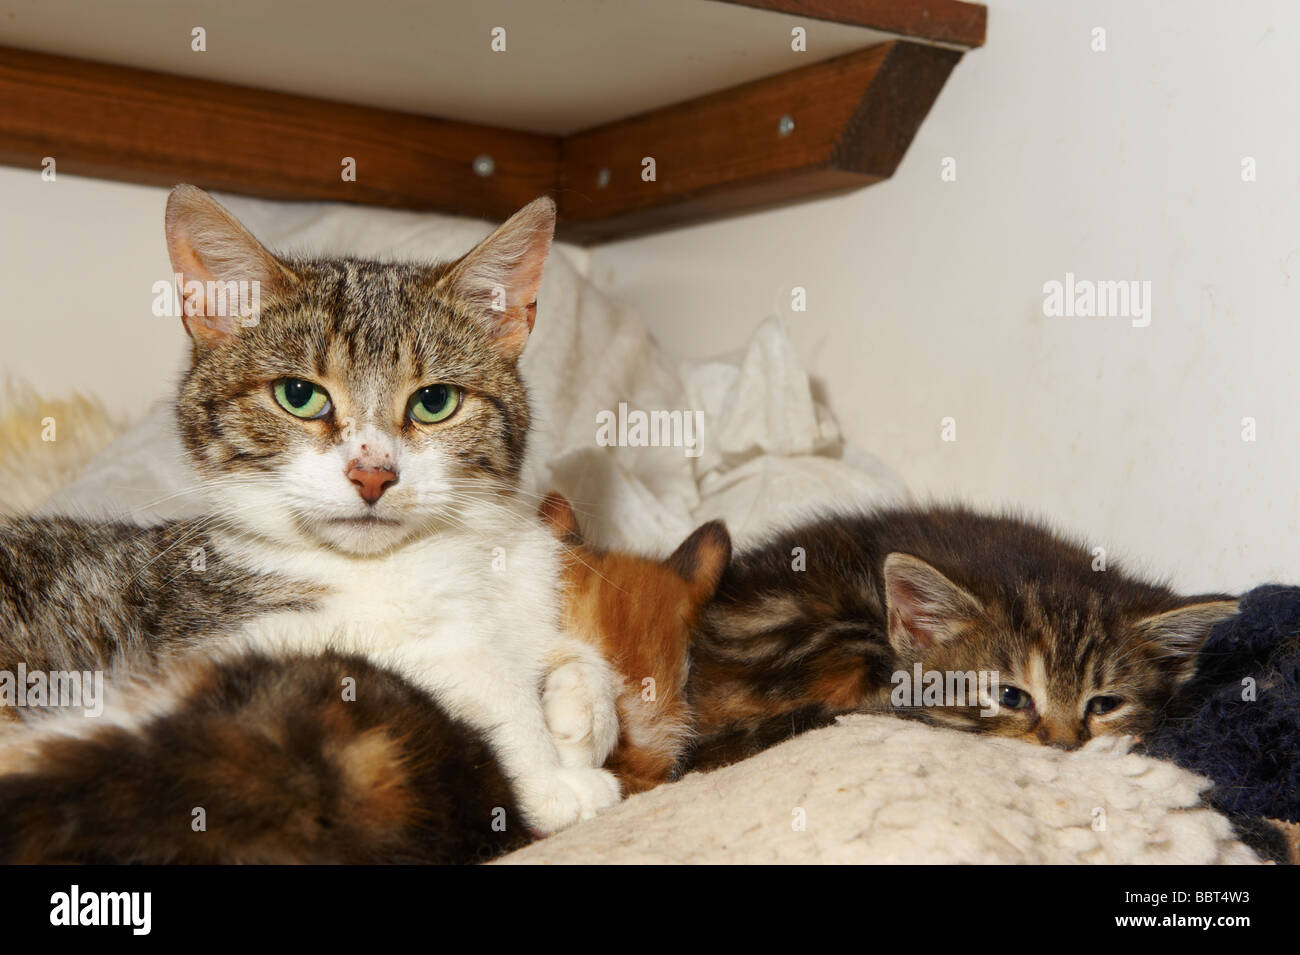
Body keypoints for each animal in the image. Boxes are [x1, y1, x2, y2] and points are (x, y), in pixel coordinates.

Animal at [0, 187, 618, 836]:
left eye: (434, 401)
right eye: (298, 395)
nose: (373, 473)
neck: (437, 556)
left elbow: (559, 647)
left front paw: (580, 707)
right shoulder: (229, 637)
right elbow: (462, 665)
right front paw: (550, 771)